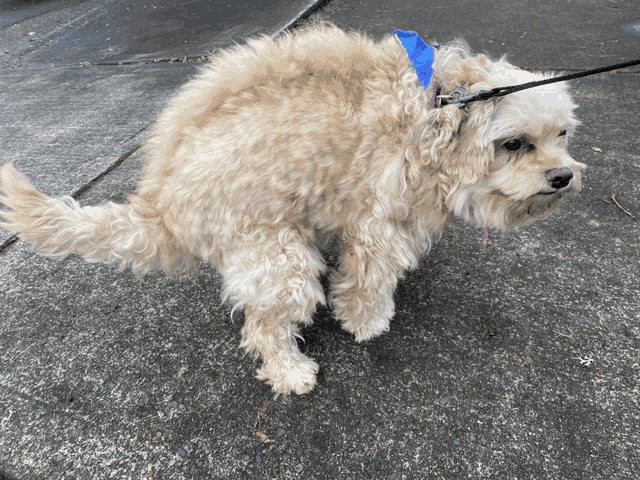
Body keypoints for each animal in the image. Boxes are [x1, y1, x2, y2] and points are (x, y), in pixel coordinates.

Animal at [0, 21, 584, 394]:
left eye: (561, 134)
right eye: (514, 144)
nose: (563, 177)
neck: (437, 108)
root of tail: (161, 204)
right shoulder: (378, 224)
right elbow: (367, 282)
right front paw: (367, 321)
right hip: (279, 257)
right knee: (263, 327)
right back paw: (290, 372)